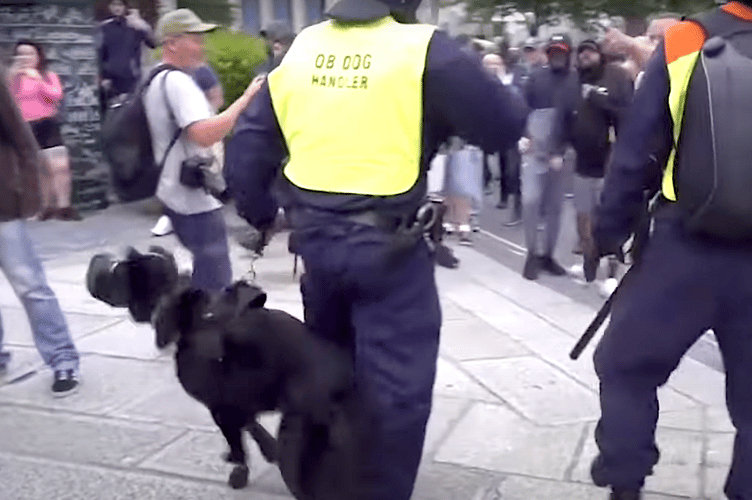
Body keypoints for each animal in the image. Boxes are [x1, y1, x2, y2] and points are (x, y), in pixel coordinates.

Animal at [86, 247, 368, 500]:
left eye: (116, 271)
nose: (95, 260)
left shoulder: (219, 407)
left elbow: (238, 442)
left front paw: (240, 470)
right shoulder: (235, 401)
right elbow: (250, 427)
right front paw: (262, 450)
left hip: (296, 432)